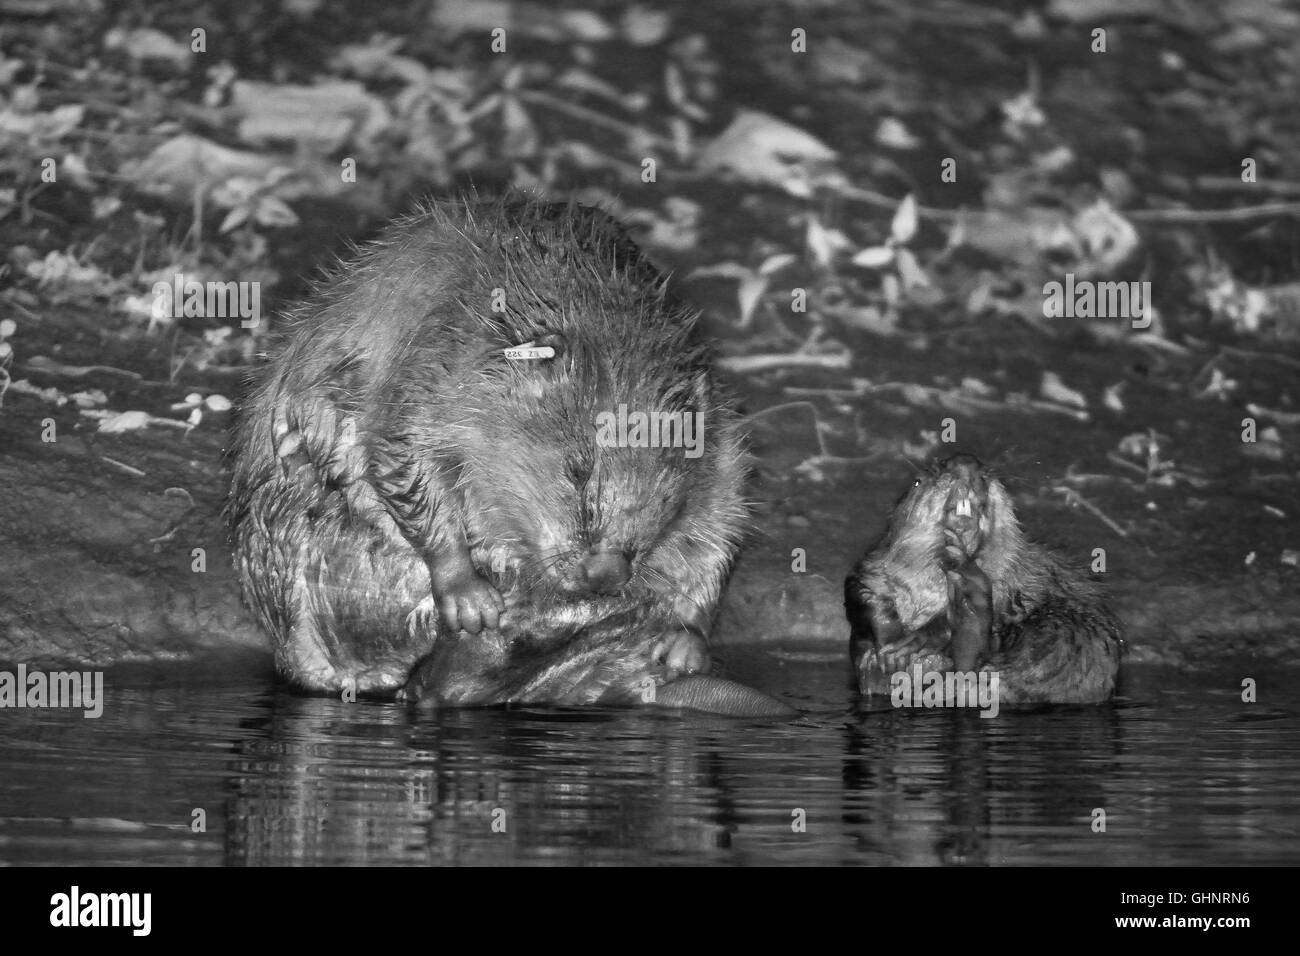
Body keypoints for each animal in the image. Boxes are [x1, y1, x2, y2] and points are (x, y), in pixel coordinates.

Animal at [226, 196, 769, 712]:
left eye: (671, 499)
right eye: (578, 470)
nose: (604, 577)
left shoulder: (721, 443)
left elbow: (723, 527)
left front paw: (685, 644)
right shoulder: (433, 372)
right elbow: (399, 458)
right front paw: (472, 598)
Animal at [847, 452, 1123, 707]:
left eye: (997, 482)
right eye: (918, 481)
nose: (964, 462)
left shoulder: (1013, 580)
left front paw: (915, 640)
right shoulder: (875, 565)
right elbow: (861, 589)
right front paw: (889, 643)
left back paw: (968, 595)